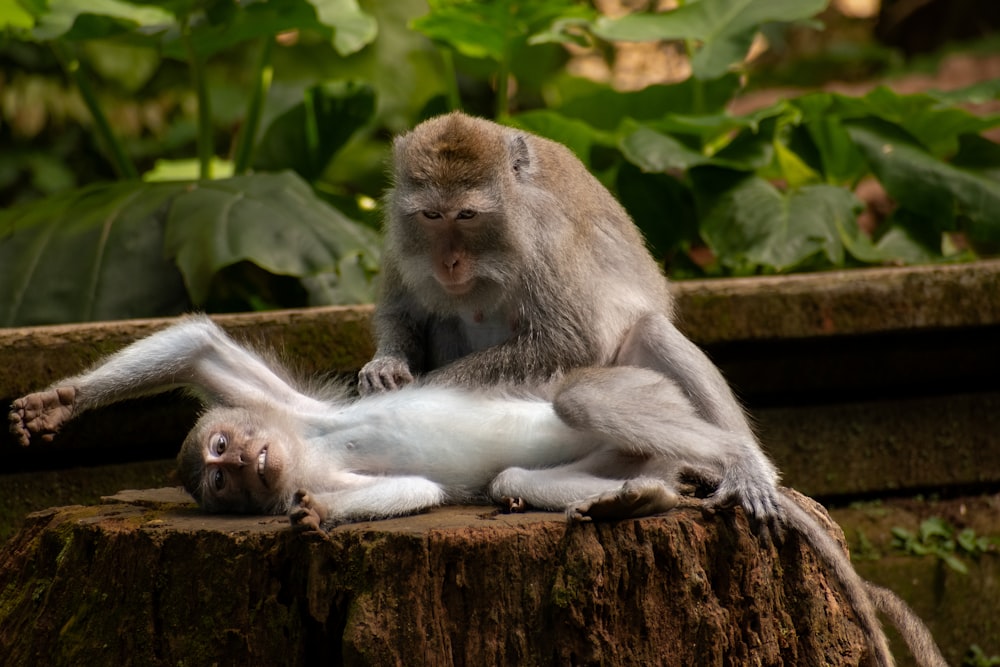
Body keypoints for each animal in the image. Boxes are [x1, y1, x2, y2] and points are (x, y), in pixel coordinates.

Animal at [7, 318, 944, 667]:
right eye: (219, 479)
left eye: (222, 450)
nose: (242, 464)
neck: (308, 447)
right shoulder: (306, 455)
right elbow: (414, 485)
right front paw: (316, 516)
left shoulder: (296, 418)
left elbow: (203, 342)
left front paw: (59, 400)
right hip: (620, 447)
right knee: (517, 478)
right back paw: (644, 496)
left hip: (641, 390)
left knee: (587, 398)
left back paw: (737, 464)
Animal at [360, 113, 772, 520]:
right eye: (431, 215)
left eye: (467, 215)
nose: (449, 262)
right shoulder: (398, 236)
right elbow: (401, 314)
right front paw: (386, 367)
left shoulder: (546, 237)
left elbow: (571, 341)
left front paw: (423, 389)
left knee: (651, 330)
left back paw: (737, 473)